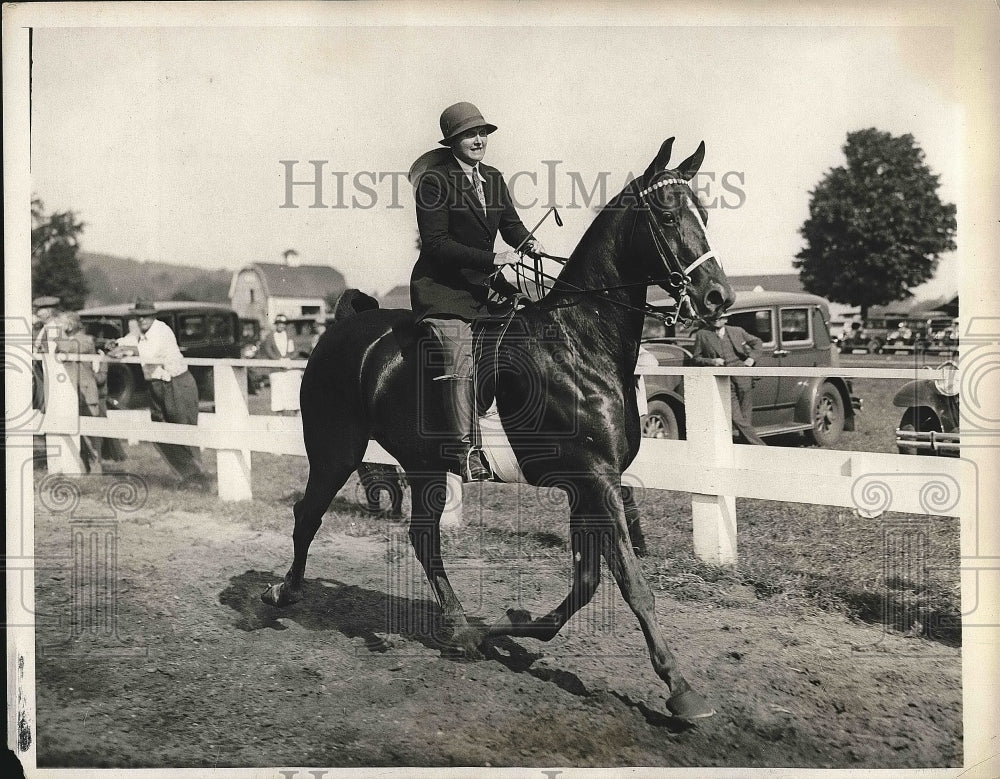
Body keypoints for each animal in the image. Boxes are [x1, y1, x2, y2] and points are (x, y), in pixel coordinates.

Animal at [266, 137, 736, 724]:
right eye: (669, 215)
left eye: (706, 214)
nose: (719, 298)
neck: (580, 341)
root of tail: (342, 328)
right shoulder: (597, 479)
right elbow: (632, 582)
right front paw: (680, 687)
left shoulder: (586, 486)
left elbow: (587, 580)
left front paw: (507, 629)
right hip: (335, 451)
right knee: (307, 516)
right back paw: (285, 594)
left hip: (424, 466)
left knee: (424, 538)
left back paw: (460, 627)